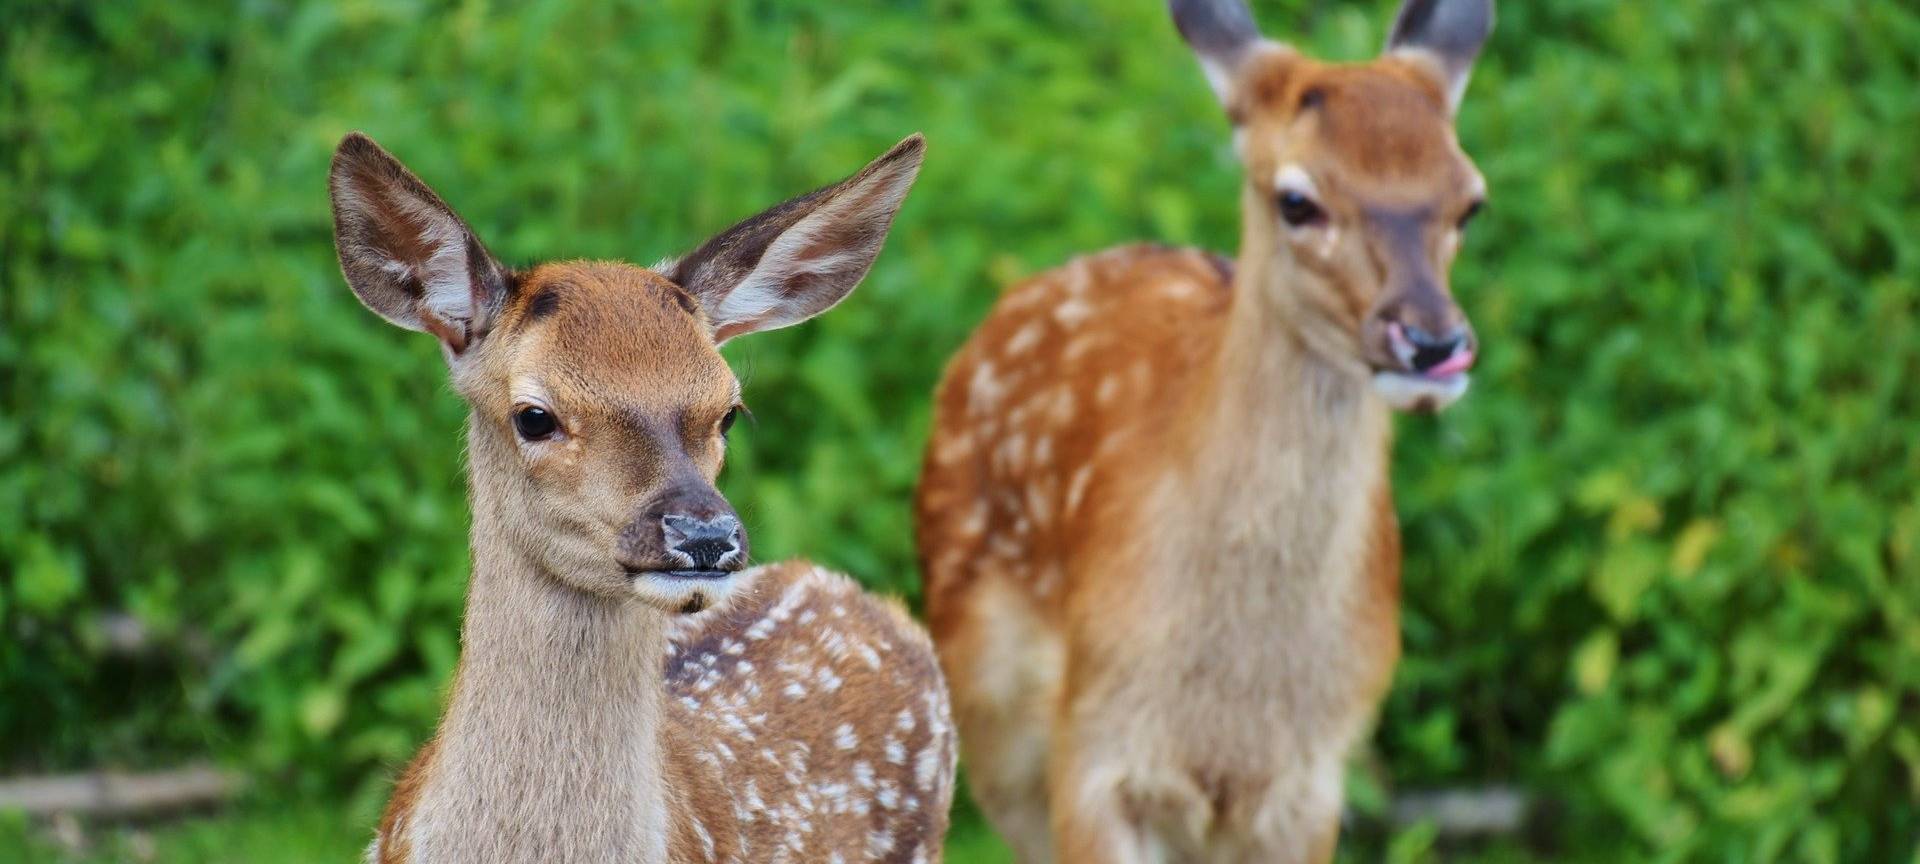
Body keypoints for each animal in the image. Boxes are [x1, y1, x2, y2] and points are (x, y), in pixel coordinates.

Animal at [913, 0, 1494, 860]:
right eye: (1297, 199)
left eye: (1469, 200)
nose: (1430, 342)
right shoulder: (1094, 748)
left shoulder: (1312, 779)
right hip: (990, 713)